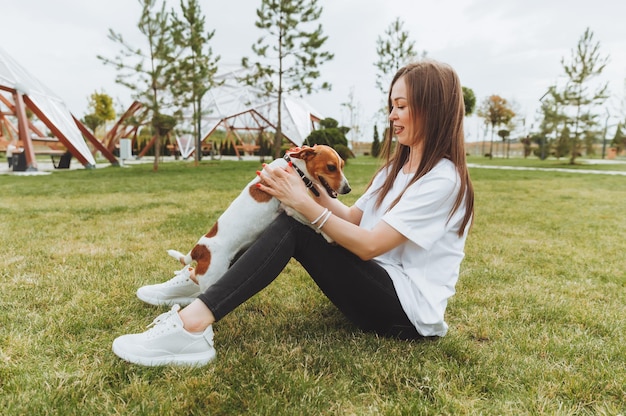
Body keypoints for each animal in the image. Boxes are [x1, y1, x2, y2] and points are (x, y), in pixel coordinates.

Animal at [166, 145, 352, 290]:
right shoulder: (292, 207)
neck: (295, 168)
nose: (348, 189)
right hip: (212, 278)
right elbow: (313, 222)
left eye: (342, 166)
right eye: (331, 167)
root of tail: (198, 249)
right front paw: (329, 235)